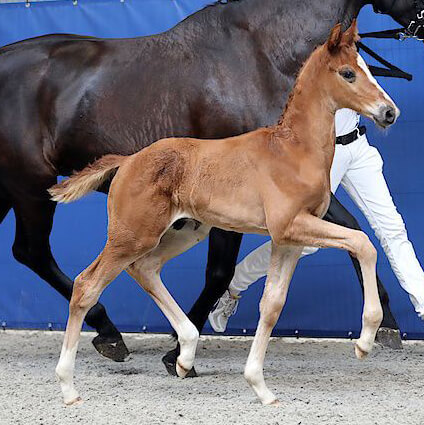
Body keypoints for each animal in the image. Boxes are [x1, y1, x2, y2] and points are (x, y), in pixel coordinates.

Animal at [0, 1, 418, 362]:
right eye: (348, 73)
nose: (390, 112)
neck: (259, 50)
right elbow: (222, 271)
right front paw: (179, 345)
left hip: (15, 191)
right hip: (34, 189)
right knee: (36, 252)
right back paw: (110, 333)